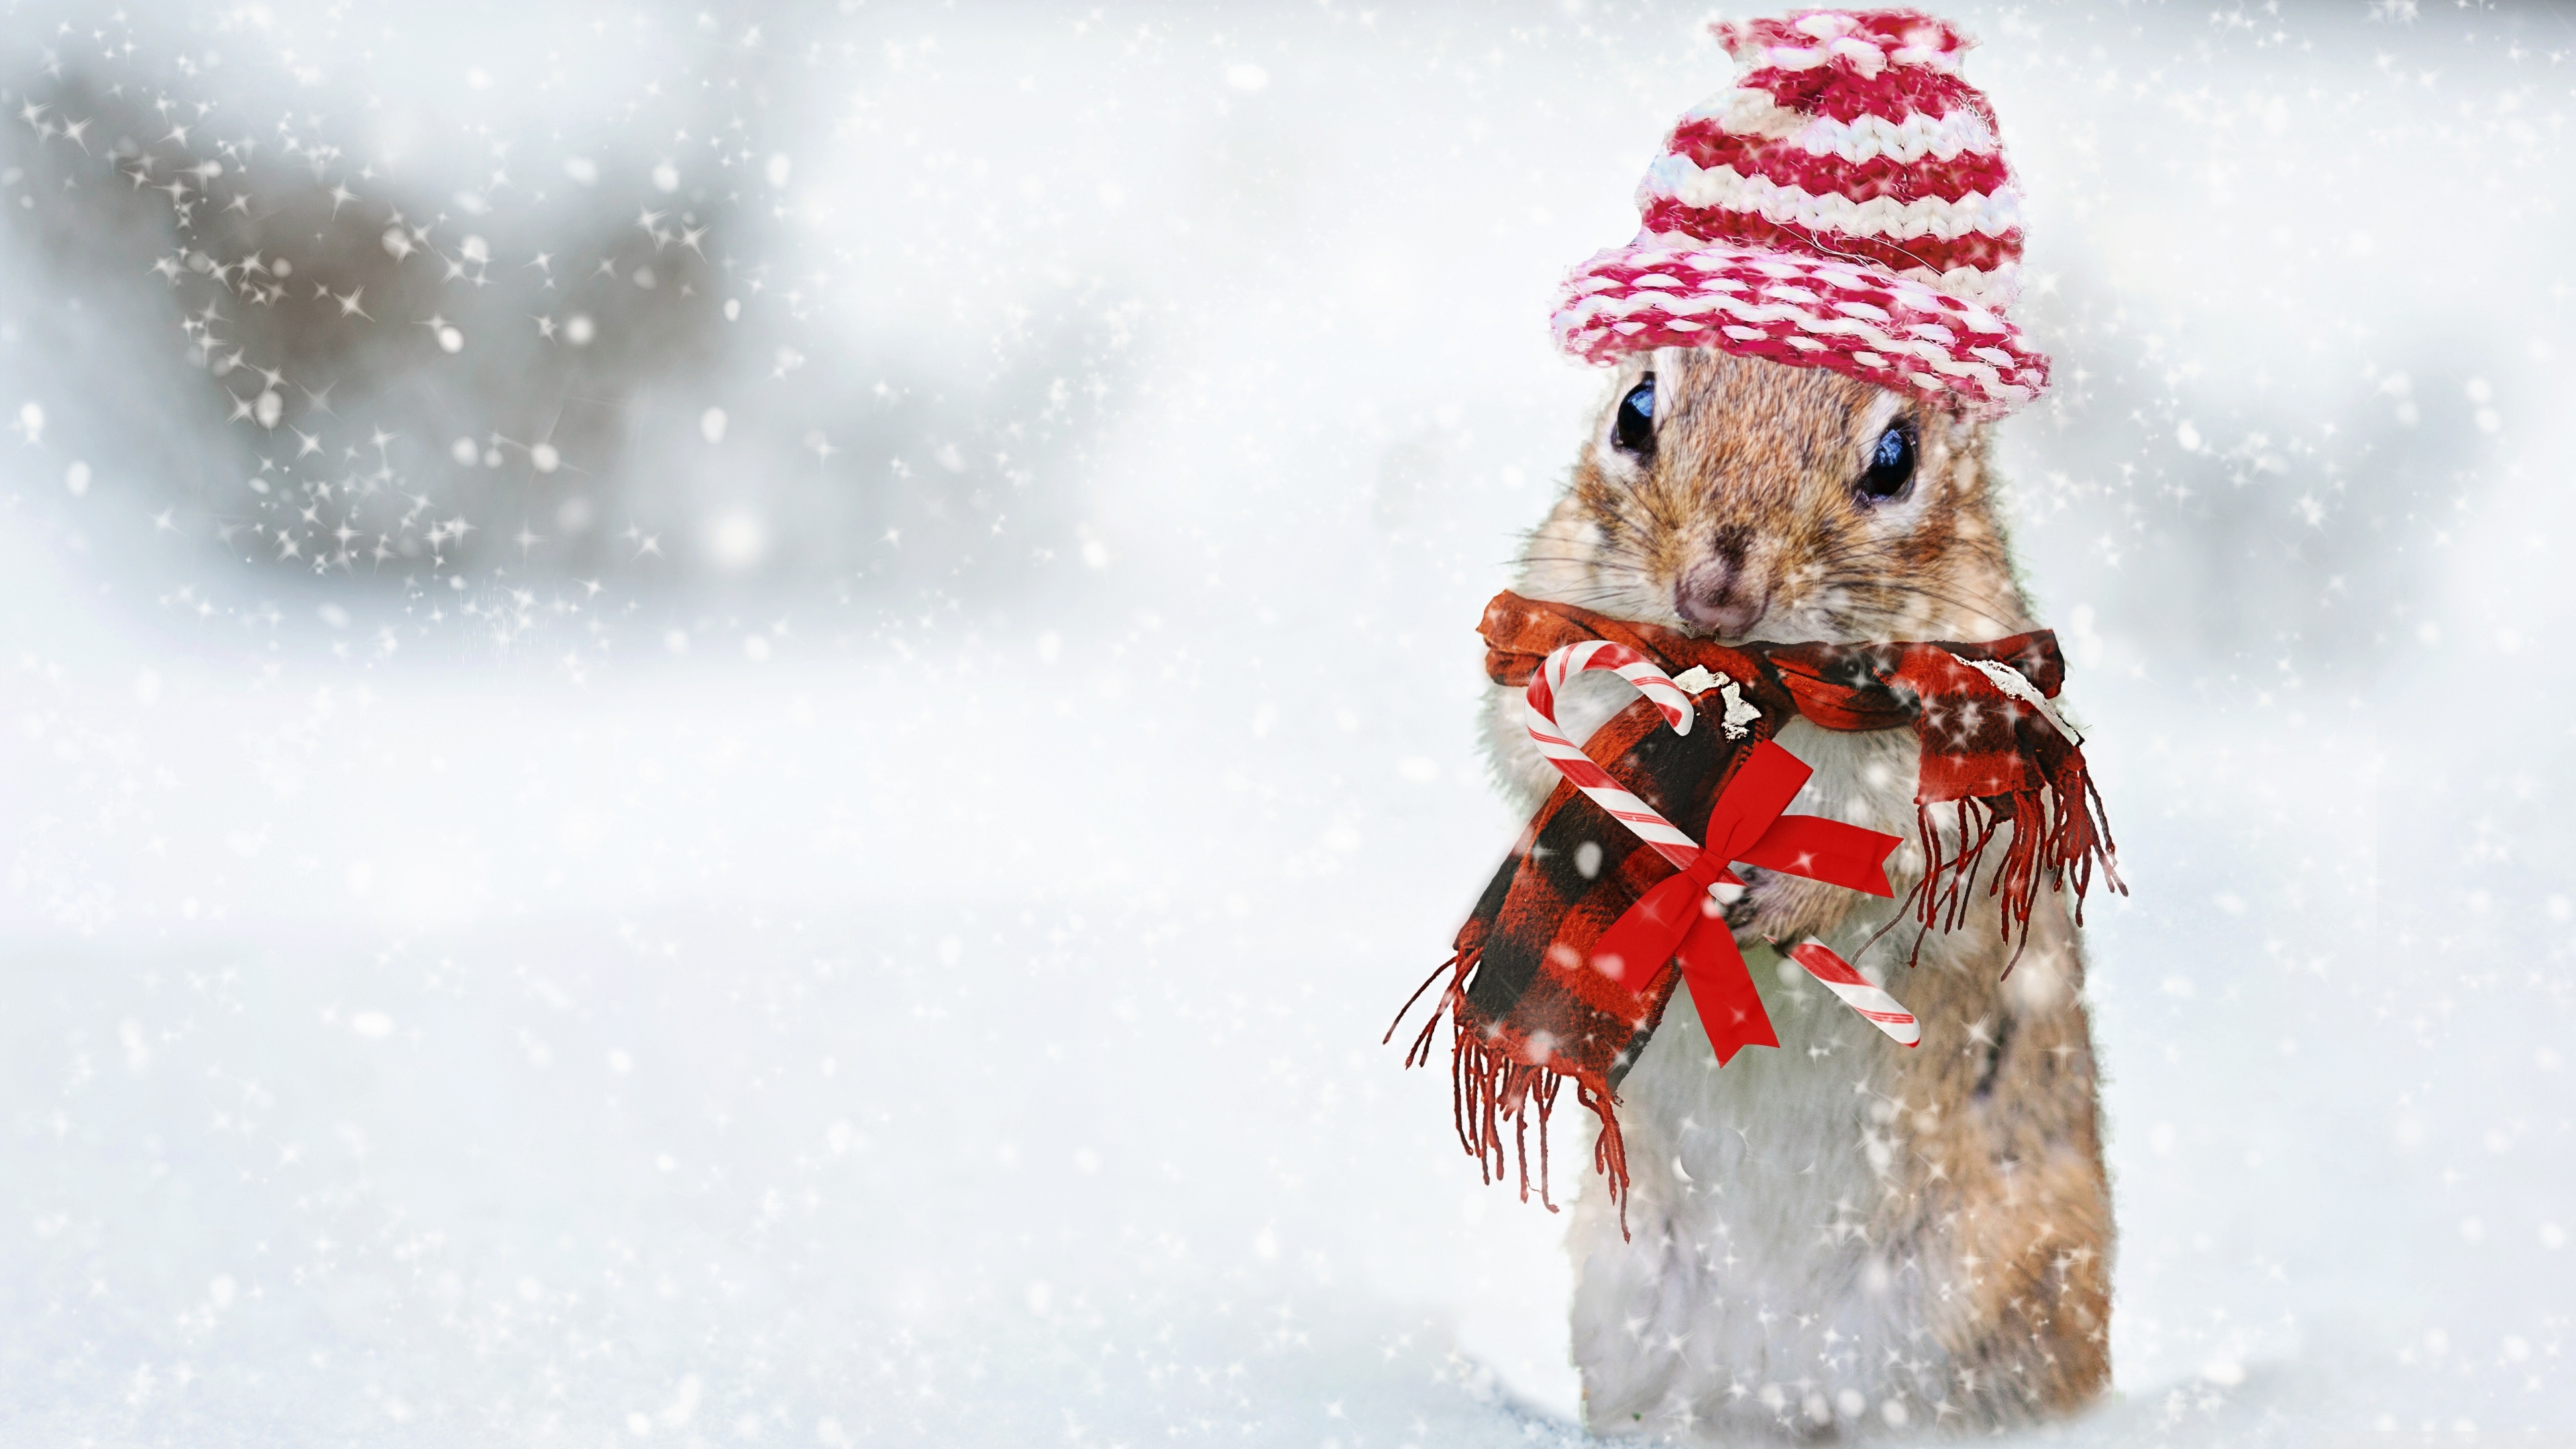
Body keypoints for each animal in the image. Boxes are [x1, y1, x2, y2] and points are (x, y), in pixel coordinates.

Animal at [1478, 345, 2112, 1438]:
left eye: (1897, 459)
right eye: (1635, 410)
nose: (1715, 596)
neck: (1752, 686)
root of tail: (1785, 1387)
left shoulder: (1963, 742)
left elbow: (1897, 855)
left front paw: (1777, 901)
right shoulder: (1549, 640)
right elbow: (1544, 754)